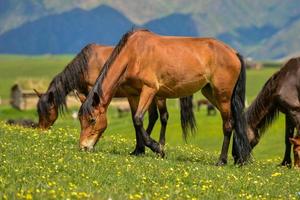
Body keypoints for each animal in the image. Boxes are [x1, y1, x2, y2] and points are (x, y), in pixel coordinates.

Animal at [35, 43, 196, 155]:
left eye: (47, 111)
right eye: (38, 111)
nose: (41, 130)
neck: (86, 64)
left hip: (159, 96)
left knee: (163, 117)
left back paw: (157, 145)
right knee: (153, 116)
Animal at [77, 28, 251, 166]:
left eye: (92, 120)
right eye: (80, 120)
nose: (83, 147)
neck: (134, 53)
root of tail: (234, 53)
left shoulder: (149, 90)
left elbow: (139, 119)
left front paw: (157, 148)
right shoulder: (134, 94)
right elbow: (136, 120)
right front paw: (139, 149)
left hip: (223, 96)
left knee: (228, 124)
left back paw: (222, 160)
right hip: (211, 93)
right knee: (234, 122)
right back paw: (240, 158)